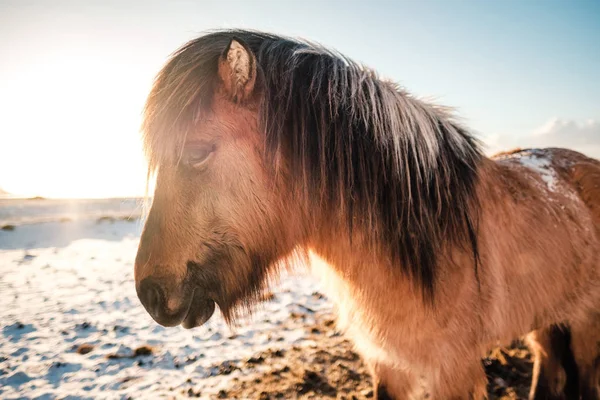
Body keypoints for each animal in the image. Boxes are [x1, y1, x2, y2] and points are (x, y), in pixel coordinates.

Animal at [135, 29, 600, 398]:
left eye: (197, 151)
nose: (150, 294)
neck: (423, 241)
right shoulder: (387, 365)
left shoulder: (453, 371)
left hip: (586, 326)